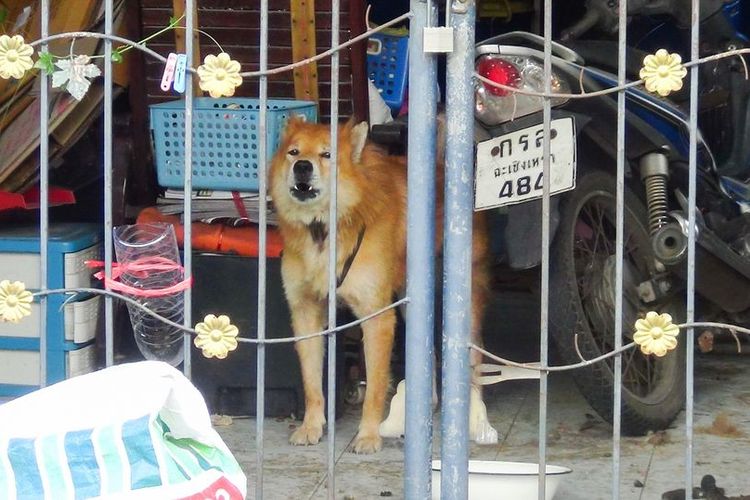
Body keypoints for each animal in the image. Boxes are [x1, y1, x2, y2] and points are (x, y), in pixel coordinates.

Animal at [270, 118, 494, 454]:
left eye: (327, 154)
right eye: (293, 152)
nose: (302, 167)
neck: (323, 230)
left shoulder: (377, 317)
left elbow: (375, 384)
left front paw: (368, 435)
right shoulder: (306, 312)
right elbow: (311, 381)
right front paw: (311, 426)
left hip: (466, 299)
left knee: (473, 357)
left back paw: (474, 416)